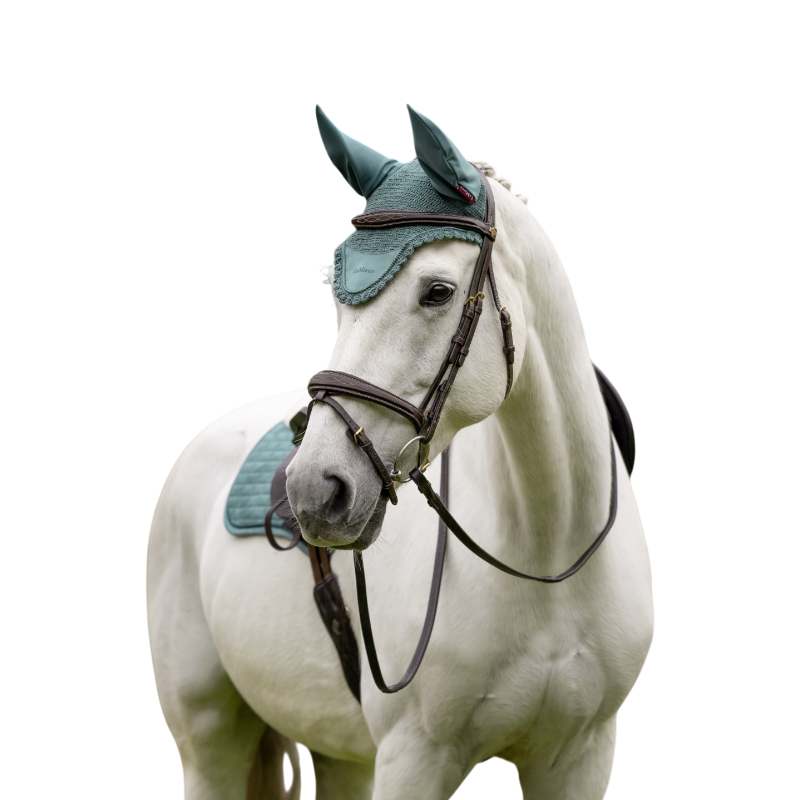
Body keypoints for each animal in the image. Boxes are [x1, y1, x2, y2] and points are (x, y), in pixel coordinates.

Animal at [146, 105, 654, 799]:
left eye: (437, 291)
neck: (547, 556)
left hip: (341, 753)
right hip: (210, 744)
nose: (314, 491)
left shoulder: (579, 759)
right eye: (334, 289)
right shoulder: (414, 760)